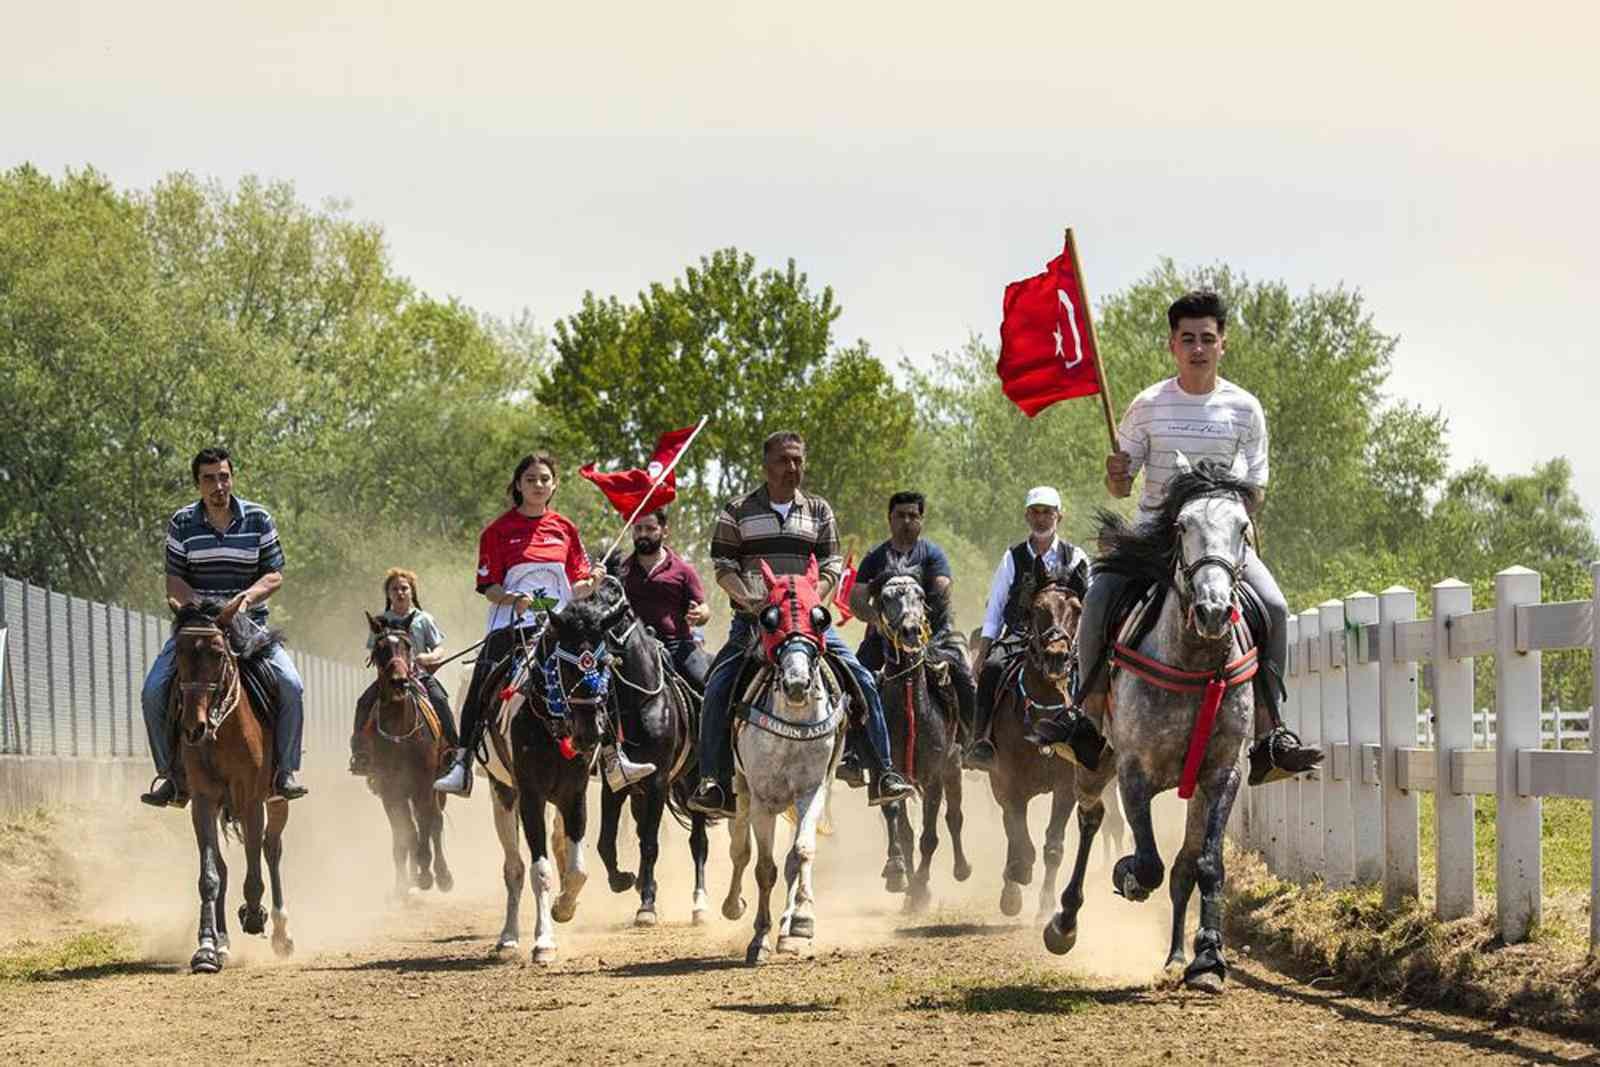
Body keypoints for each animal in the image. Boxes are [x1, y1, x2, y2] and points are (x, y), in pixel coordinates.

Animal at [167, 601, 296, 979]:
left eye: (218, 653)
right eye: (178, 654)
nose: (193, 728)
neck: (221, 730)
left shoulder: (252, 799)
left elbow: (254, 865)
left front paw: (254, 914)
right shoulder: (203, 800)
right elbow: (210, 874)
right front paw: (208, 947)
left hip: (278, 801)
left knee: (271, 850)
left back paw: (280, 932)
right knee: (225, 866)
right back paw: (222, 941)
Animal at [366, 614, 454, 908]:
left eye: (407, 646)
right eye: (380, 648)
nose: (399, 682)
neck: (399, 732)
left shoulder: (424, 787)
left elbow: (426, 827)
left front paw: (426, 874)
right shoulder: (390, 792)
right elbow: (403, 835)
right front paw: (402, 886)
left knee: (435, 823)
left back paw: (441, 875)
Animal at [723, 559, 851, 966]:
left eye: (820, 617)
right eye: (769, 618)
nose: (797, 683)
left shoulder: (812, 789)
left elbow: (801, 854)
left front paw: (801, 924)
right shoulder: (762, 799)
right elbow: (764, 867)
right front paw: (758, 939)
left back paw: (788, 926)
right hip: (741, 791)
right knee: (739, 850)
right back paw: (733, 905)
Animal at [985, 559, 1126, 921]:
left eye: (1077, 610)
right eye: (1037, 609)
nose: (1056, 657)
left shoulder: (1065, 787)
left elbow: (1053, 847)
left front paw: (1046, 906)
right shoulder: (1009, 784)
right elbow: (1019, 837)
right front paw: (1014, 887)